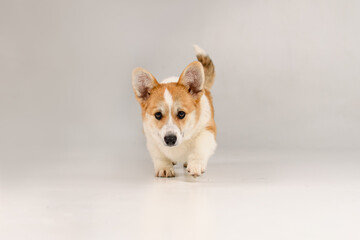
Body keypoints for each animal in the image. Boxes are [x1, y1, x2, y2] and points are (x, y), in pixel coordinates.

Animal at [132, 45, 217, 177]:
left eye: (181, 113)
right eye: (158, 115)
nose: (170, 139)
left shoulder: (207, 130)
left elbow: (198, 148)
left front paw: (195, 165)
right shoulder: (151, 138)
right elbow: (159, 155)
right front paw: (164, 167)